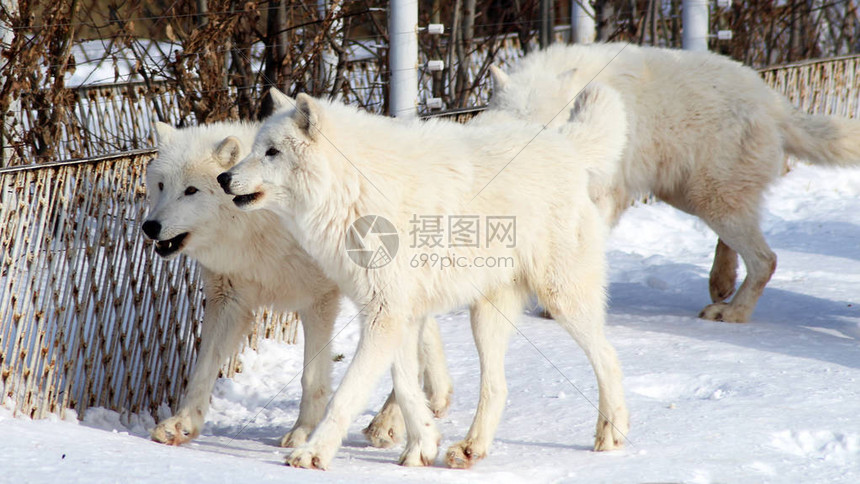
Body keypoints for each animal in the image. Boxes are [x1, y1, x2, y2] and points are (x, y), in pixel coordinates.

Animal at [142, 123, 454, 448]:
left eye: (191, 190)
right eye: (162, 185)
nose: (149, 226)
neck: (259, 226)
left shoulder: (319, 300)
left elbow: (312, 378)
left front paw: (303, 432)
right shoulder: (228, 299)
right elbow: (202, 370)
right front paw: (181, 424)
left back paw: (388, 424)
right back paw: (436, 397)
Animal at [218, 87, 628, 468]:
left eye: (272, 152)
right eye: (255, 148)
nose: (224, 177)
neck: (355, 189)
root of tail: (564, 145)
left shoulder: (385, 314)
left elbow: (349, 392)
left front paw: (313, 453)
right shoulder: (398, 314)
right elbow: (405, 384)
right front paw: (423, 444)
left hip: (561, 299)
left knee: (608, 356)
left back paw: (612, 433)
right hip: (485, 318)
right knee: (497, 387)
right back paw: (470, 448)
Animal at [488, 43, 860, 324]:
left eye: (547, 129)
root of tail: (773, 100)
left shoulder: (604, 198)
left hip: (710, 199)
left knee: (766, 260)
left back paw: (733, 312)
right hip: (689, 196)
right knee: (739, 244)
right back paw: (721, 283)